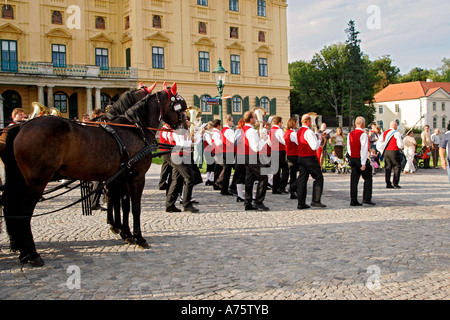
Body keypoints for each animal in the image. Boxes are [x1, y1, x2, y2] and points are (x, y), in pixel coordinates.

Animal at [1, 84, 186, 266]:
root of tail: (21, 126)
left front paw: (125, 233)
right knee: (24, 212)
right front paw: (138, 237)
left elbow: (122, 205)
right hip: (37, 182)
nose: (185, 126)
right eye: (180, 106)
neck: (134, 129)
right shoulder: (136, 177)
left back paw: (23, 251)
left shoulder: (122, 177)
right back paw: (32, 253)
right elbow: (134, 207)